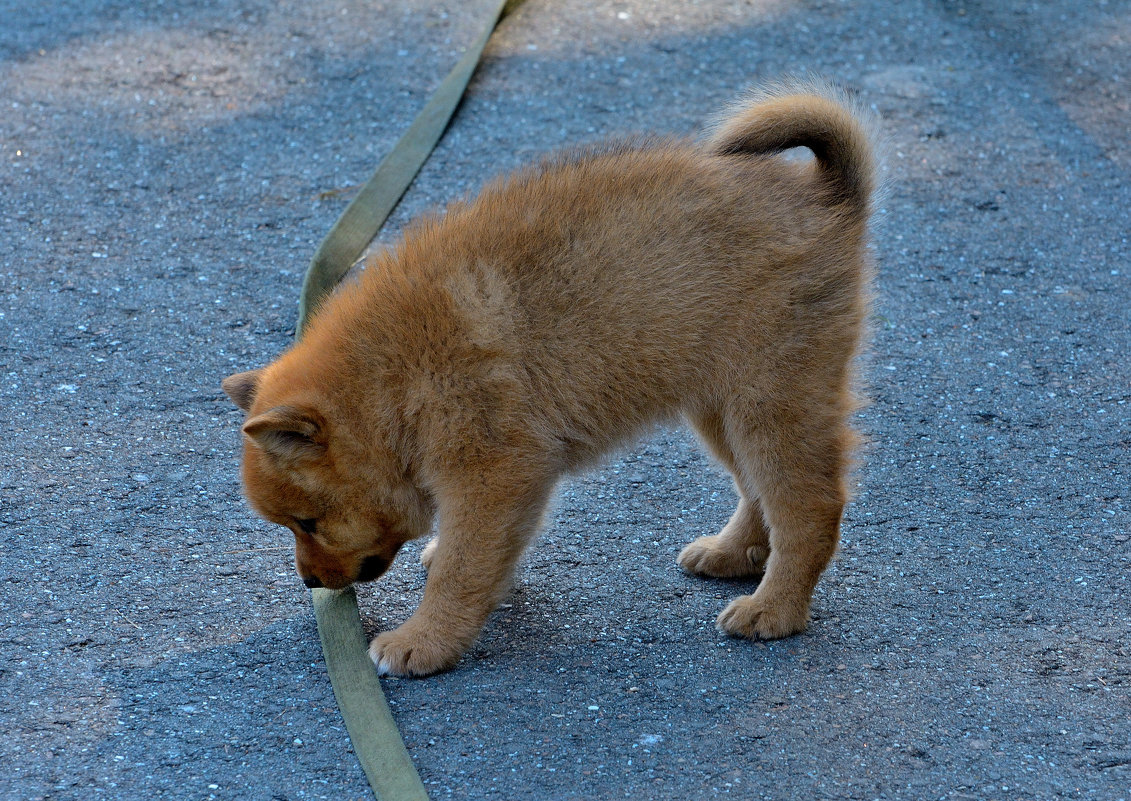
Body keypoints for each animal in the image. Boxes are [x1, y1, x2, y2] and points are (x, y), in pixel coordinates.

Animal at [225, 81, 882, 674]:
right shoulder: (508, 482)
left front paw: (424, 641)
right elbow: (481, 554)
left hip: (769, 402)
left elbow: (462, 569)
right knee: (756, 493)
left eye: (307, 523)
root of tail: (826, 197)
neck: (390, 379)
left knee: (808, 509)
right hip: (722, 406)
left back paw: (774, 609)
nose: (311, 584)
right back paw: (732, 554)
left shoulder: (494, 473)